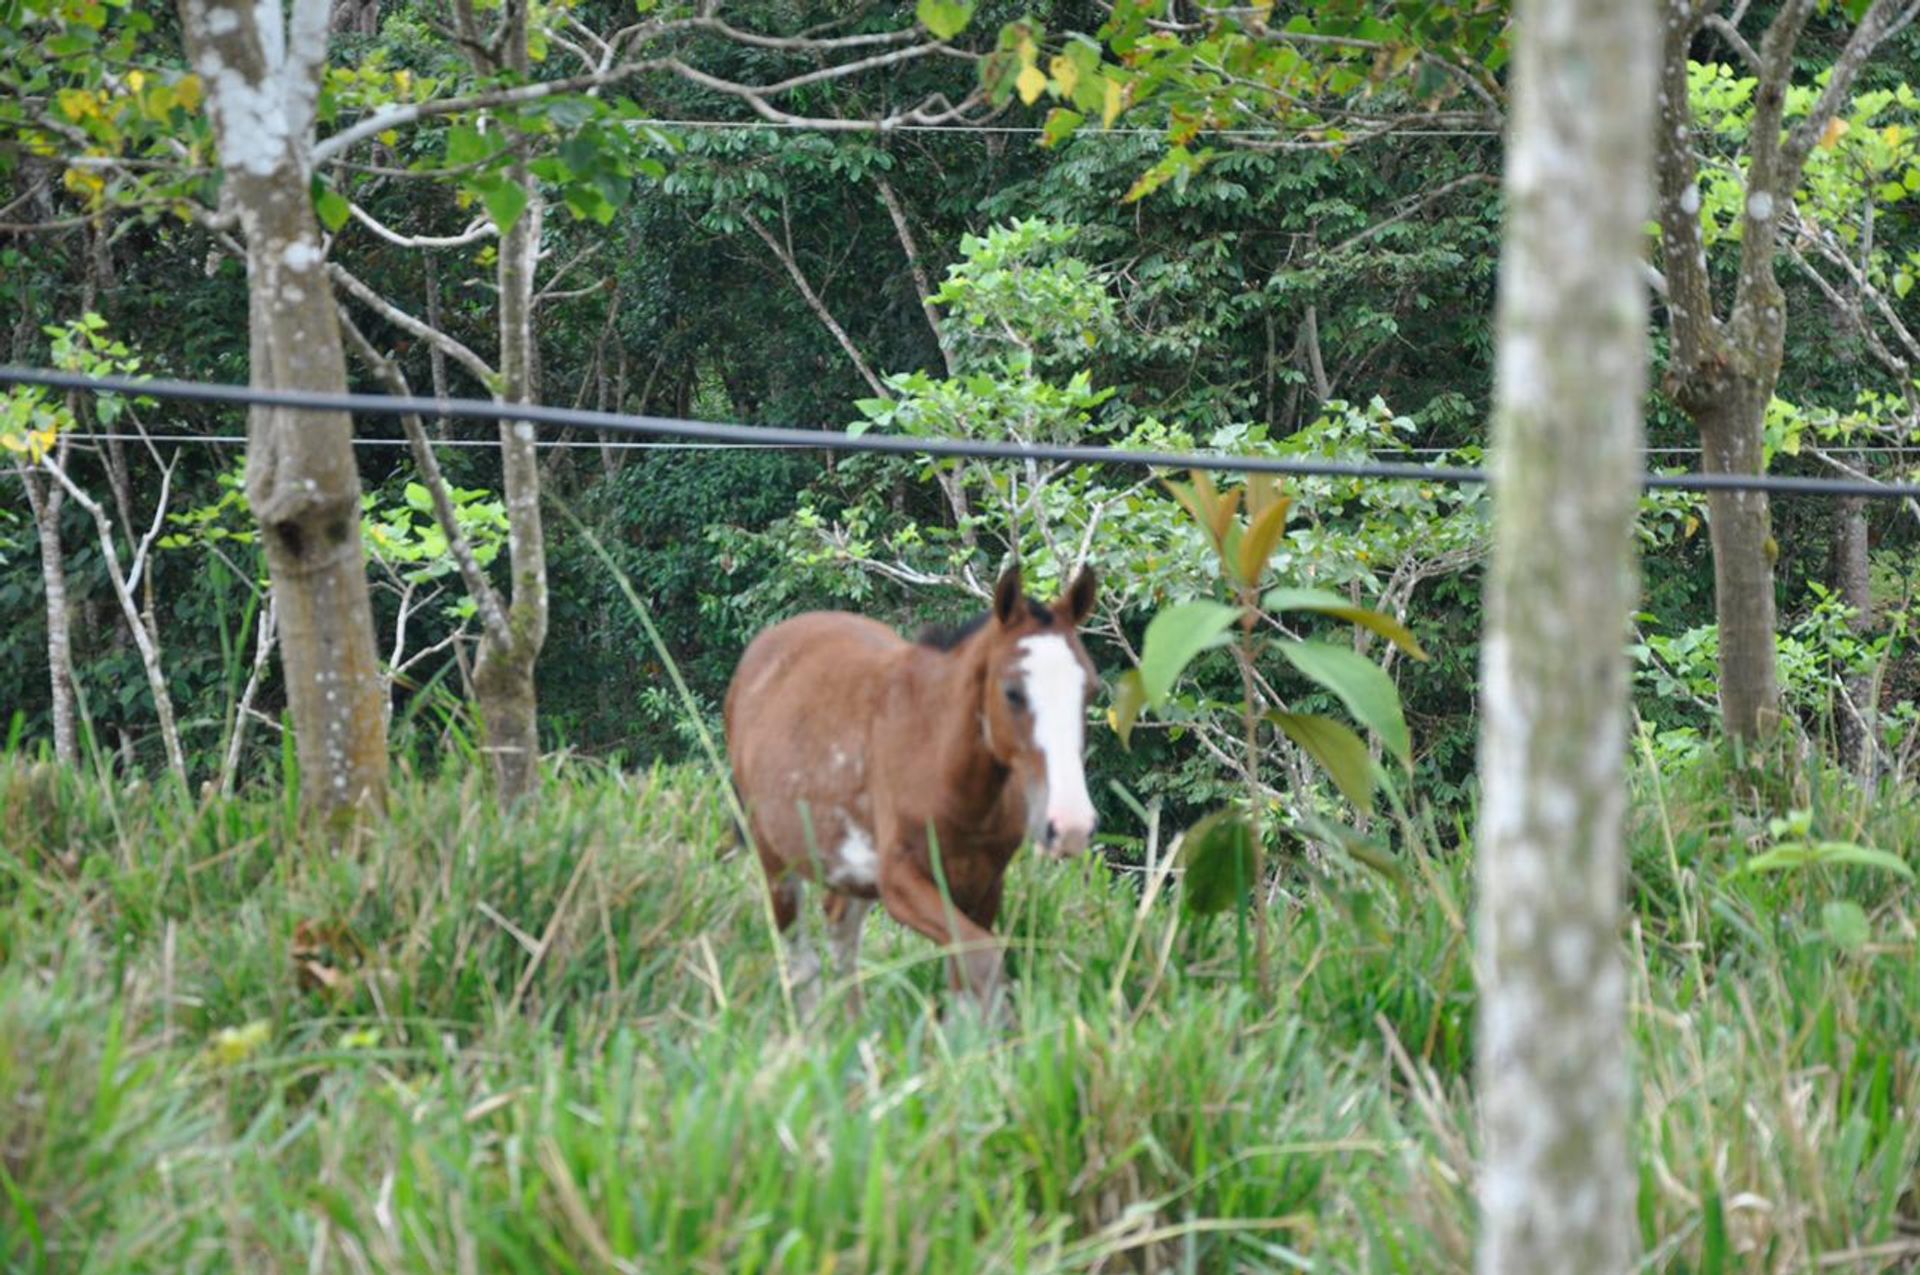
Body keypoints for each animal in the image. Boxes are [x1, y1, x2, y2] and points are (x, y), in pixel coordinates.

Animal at [725, 568, 1105, 1013]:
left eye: (1091, 690)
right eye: (1013, 692)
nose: (1071, 825)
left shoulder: (983, 886)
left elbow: (966, 980)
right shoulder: (900, 883)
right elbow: (982, 960)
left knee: (841, 936)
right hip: (776, 861)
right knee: (802, 963)